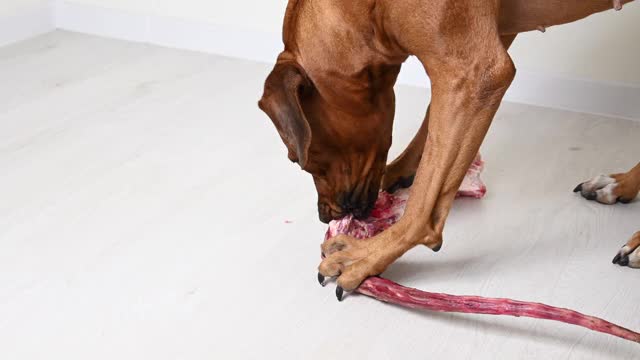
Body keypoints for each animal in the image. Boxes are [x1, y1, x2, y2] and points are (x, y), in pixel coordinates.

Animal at [258, 0, 636, 292]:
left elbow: (425, 197)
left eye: (301, 160)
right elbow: (434, 130)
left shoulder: (473, 72)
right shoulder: (482, 48)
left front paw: (368, 254)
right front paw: (403, 169)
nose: (325, 215)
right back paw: (622, 185)